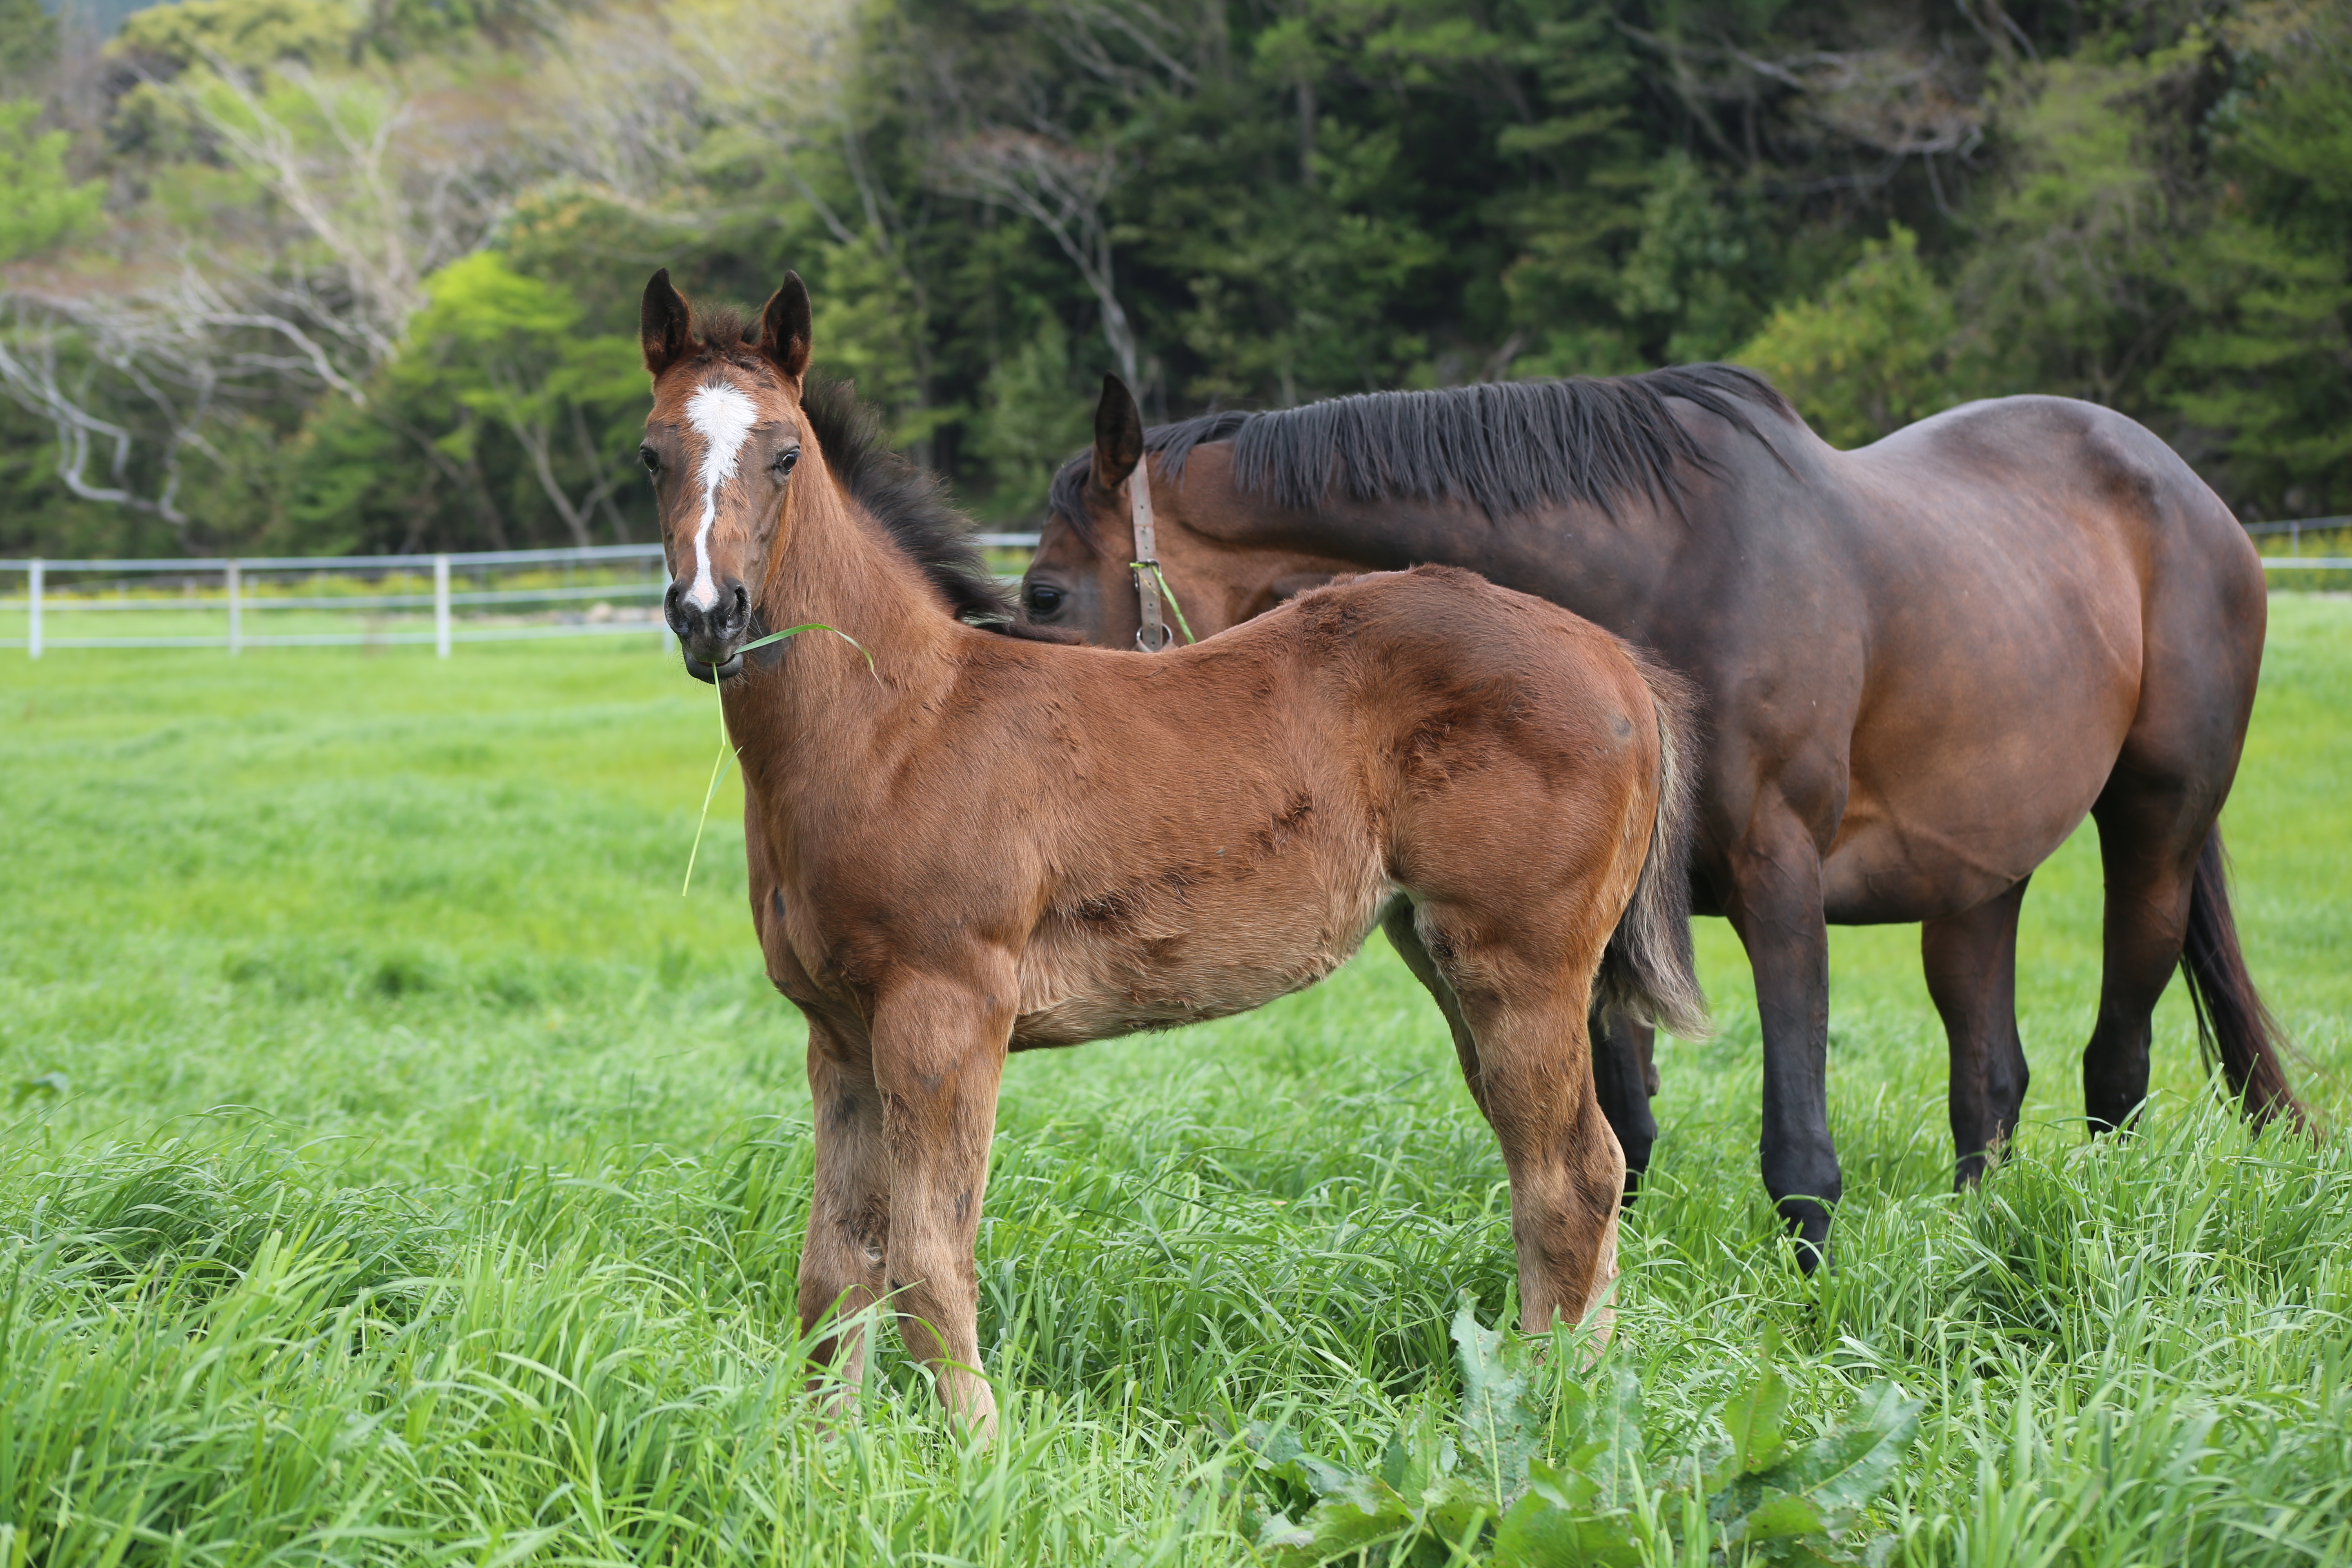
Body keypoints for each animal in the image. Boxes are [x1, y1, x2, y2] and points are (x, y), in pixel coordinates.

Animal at [644, 272, 1712, 1439]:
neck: (897, 723)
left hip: (1523, 962)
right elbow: (835, 1271)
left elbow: (928, 1258)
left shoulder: (946, 1011)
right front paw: (820, 1452)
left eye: (786, 453)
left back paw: (1542, 1414)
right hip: (1446, 959)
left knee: (1574, 1174)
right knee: (1562, 1165)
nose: (709, 616)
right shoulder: (837, 1034)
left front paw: (981, 1452)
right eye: (651, 454)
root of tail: (1615, 657)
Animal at [1020, 371, 2305, 1260]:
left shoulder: (1779, 881)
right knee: (1989, 1084)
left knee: (2115, 1065)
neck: (1662, 574)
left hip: (2153, 838)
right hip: (1977, 885)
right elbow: (1615, 1139)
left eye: (1042, 593)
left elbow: (1797, 1151)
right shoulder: (1591, 927)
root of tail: (2187, 494)